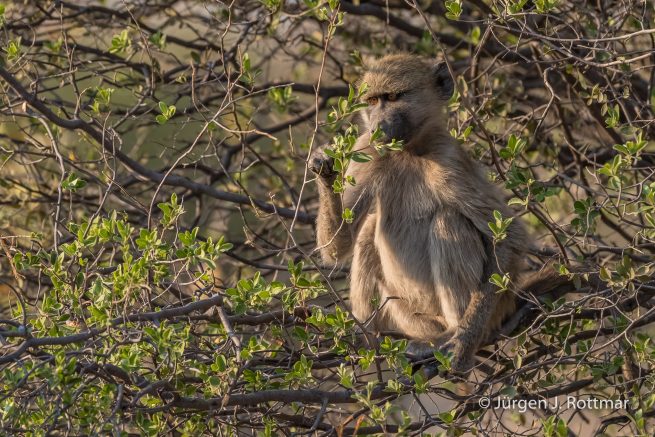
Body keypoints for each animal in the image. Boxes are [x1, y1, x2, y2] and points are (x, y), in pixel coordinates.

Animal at [309, 53, 530, 373]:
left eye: (392, 97)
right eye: (372, 101)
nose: (377, 126)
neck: (410, 150)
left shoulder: (449, 163)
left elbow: (509, 236)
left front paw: (463, 343)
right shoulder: (367, 149)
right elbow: (338, 246)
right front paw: (325, 167)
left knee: (447, 221)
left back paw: (449, 335)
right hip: (406, 313)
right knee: (368, 232)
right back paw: (372, 341)